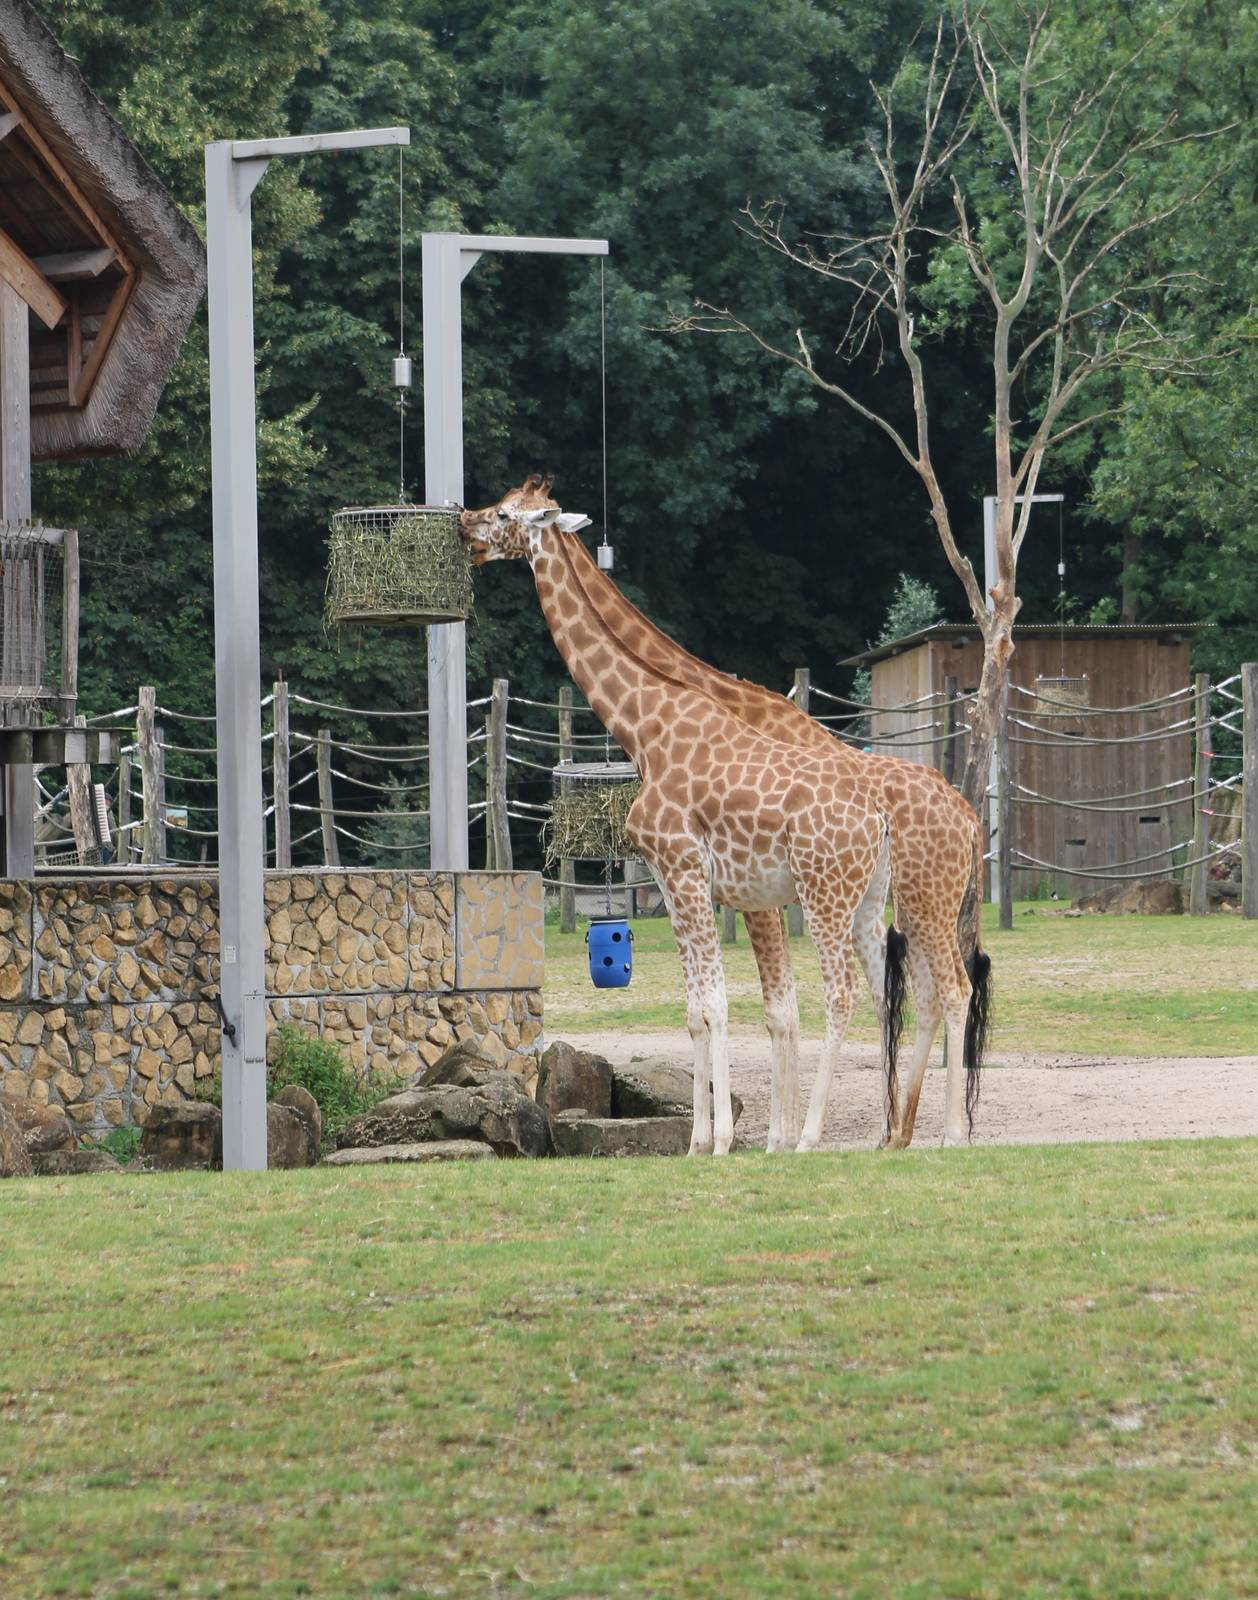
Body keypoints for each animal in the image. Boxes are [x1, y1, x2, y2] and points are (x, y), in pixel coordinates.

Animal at [462, 475, 992, 1150]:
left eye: (505, 514)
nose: (465, 528)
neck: (646, 727)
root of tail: (968, 818)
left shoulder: (696, 877)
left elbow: (734, 1006)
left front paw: (734, 1140)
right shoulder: (692, 887)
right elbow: (702, 1009)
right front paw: (703, 1140)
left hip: (871, 897)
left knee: (895, 991)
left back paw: (881, 1135)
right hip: (877, 901)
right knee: (903, 996)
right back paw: (893, 1133)